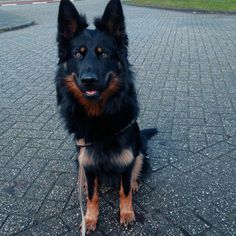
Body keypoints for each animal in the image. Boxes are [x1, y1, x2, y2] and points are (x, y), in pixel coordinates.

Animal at [55, 0, 157, 232]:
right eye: (78, 54)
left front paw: (127, 213)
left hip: (141, 151)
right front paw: (90, 218)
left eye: (104, 54)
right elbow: (93, 196)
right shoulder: (87, 160)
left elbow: (124, 190)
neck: (99, 116)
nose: (88, 80)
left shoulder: (128, 159)